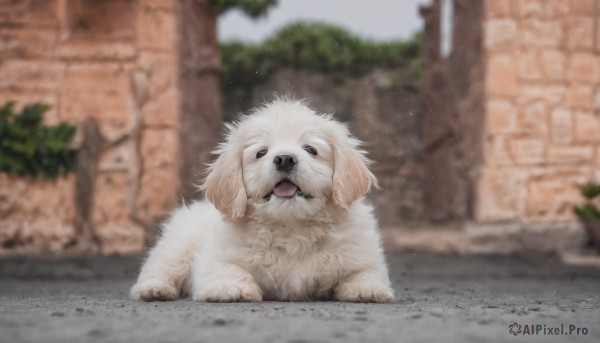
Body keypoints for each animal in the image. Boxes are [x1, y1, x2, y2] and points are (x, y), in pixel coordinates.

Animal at [131, 99, 394, 304]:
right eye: (261, 153)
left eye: (311, 149)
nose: (285, 159)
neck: (291, 226)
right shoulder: (216, 258)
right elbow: (228, 269)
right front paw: (232, 289)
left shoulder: (362, 255)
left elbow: (365, 273)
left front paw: (367, 290)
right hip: (177, 245)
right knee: (159, 268)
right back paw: (154, 289)